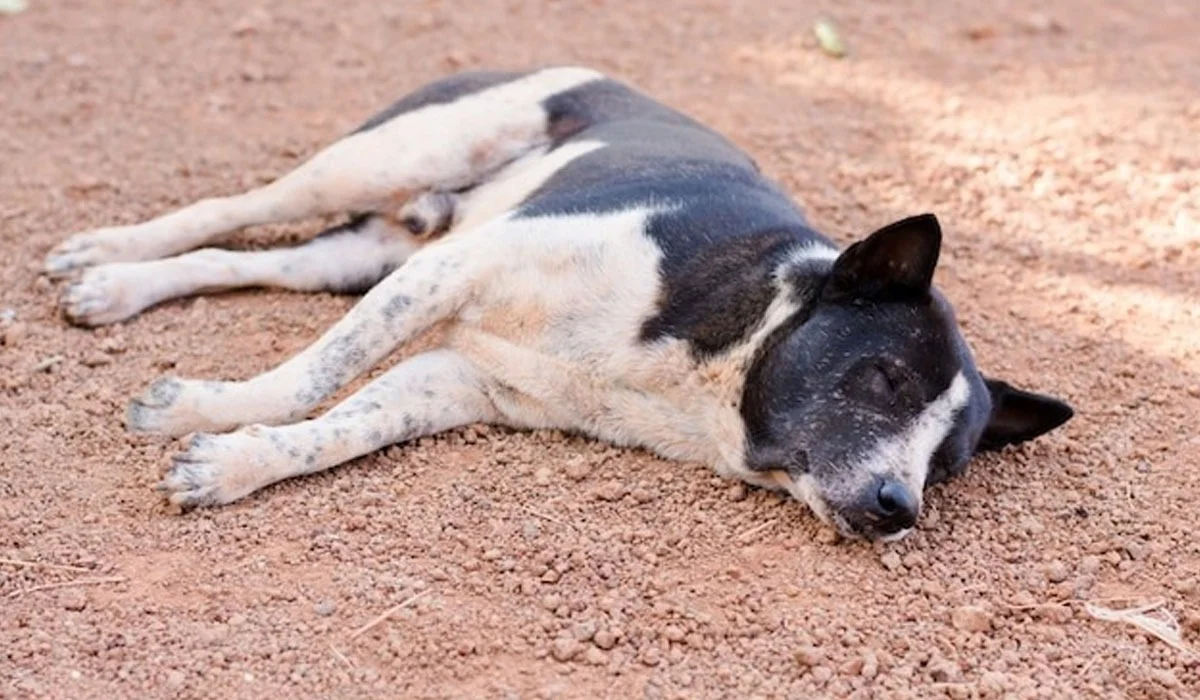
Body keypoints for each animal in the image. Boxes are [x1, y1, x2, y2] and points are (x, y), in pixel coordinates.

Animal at [46, 67, 1080, 542]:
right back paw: (105, 255)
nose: (901, 507)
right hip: (388, 160)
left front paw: (235, 463)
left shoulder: (452, 378)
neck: (715, 358)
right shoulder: (453, 273)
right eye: (885, 376)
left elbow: (336, 428)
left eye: (946, 466)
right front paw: (205, 411)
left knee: (248, 259)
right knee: (236, 208)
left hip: (366, 255)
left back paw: (120, 285)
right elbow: (311, 381)